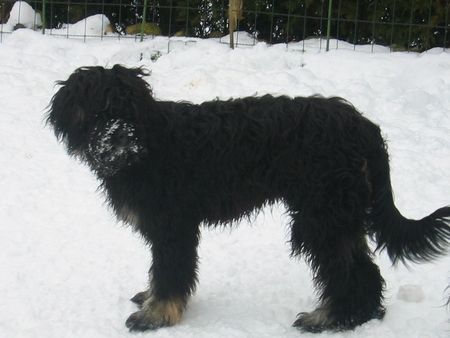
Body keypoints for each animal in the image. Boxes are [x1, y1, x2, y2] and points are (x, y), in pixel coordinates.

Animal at [45, 64, 450, 332]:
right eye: (99, 110)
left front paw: (157, 315)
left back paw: (330, 318)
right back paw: (360, 315)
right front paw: (152, 300)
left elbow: (170, 272)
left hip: (321, 216)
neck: (149, 147)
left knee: (348, 270)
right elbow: (162, 274)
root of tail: (363, 126)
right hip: (339, 214)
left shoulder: (173, 226)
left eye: (129, 110)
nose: (121, 139)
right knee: (365, 269)